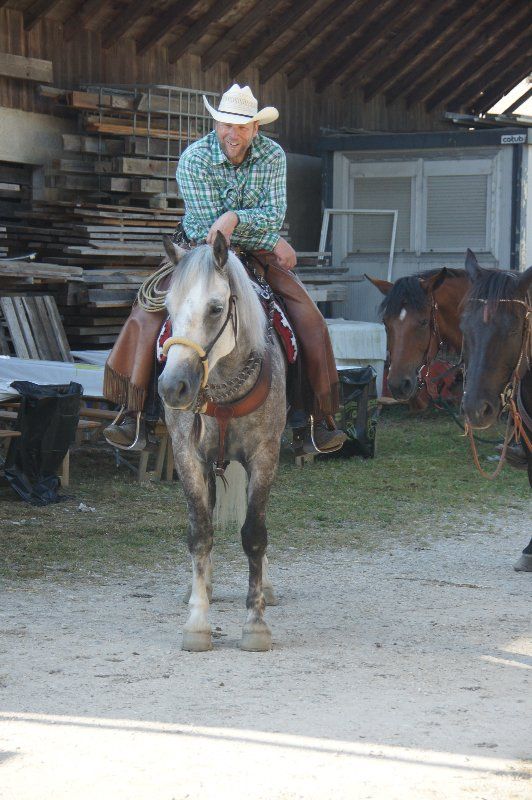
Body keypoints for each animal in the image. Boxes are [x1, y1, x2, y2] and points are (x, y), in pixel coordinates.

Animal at [158, 232, 286, 651]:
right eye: (168, 307)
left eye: (216, 309)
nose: (173, 387)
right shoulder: (188, 456)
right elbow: (200, 534)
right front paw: (197, 622)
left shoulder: (264, 456)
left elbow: (254, 535)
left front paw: (256, 625)